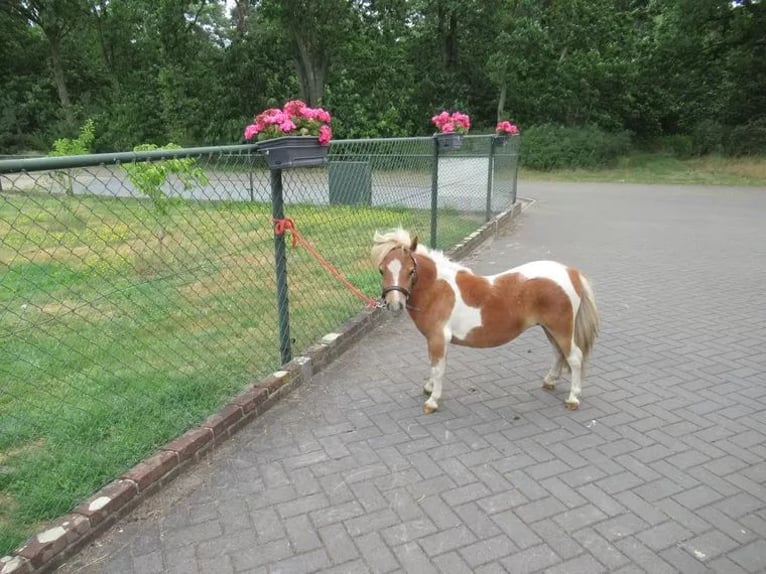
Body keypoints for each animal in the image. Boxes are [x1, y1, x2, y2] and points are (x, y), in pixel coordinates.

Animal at [371, 228, 599, 414]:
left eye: (411, 271)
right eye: (382, 269)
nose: (395, 305)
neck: (438, 289)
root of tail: (571, 272)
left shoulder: (438, 338)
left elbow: (438, 368)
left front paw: (432, 401)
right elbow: (435, 365)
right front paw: (429, 388)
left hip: (561, 329)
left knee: (574, 357)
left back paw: (573, 399)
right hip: (549, 328)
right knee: (558, 354)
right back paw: (550, 381)